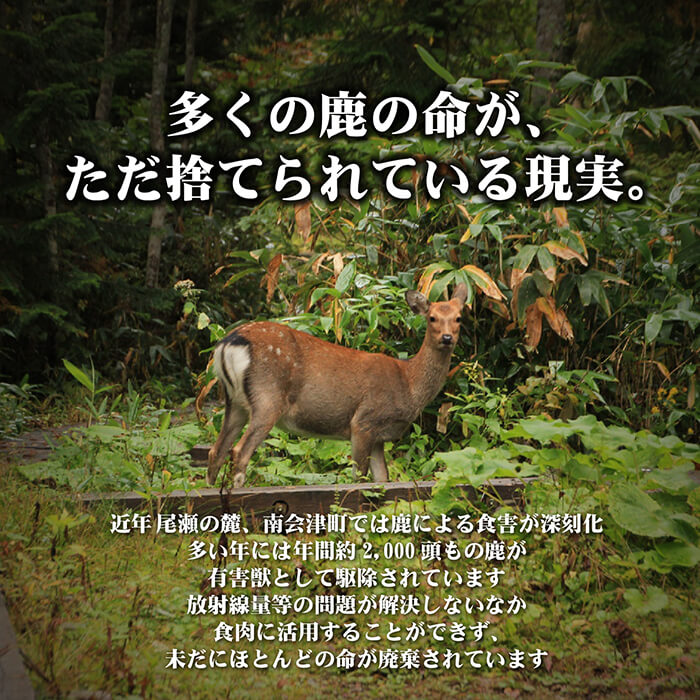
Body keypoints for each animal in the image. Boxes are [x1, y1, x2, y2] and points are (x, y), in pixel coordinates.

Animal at [207, 283, 468, 488]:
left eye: (458, 317)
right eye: (432, 317)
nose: (447, 338)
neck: (408, 383)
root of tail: (228, 343)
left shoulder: (379, 436)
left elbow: (382, 479)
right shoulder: (363, 421)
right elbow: (359, 478)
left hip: (235, 402)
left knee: (216, 451)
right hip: (267, 396)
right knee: (239, 452)